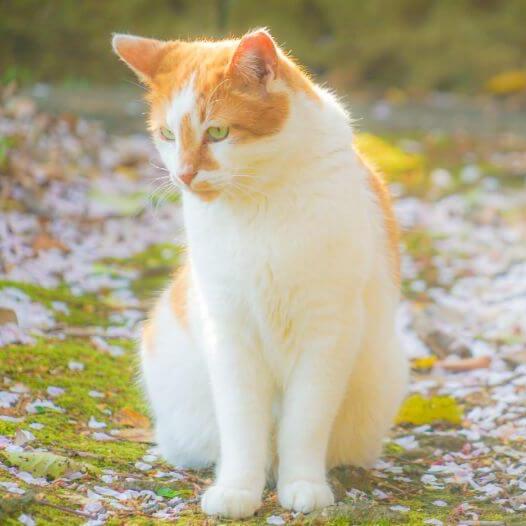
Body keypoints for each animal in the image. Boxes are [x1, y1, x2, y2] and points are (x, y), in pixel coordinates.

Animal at [113, 27, 410, 520]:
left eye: (217, 132)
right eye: (167, 134)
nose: (184, 175)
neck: (259, 201)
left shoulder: (326, 331)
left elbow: (305, 423)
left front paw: (303, 484)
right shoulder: (230, 331)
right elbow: (241, 424)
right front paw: (237, 489)